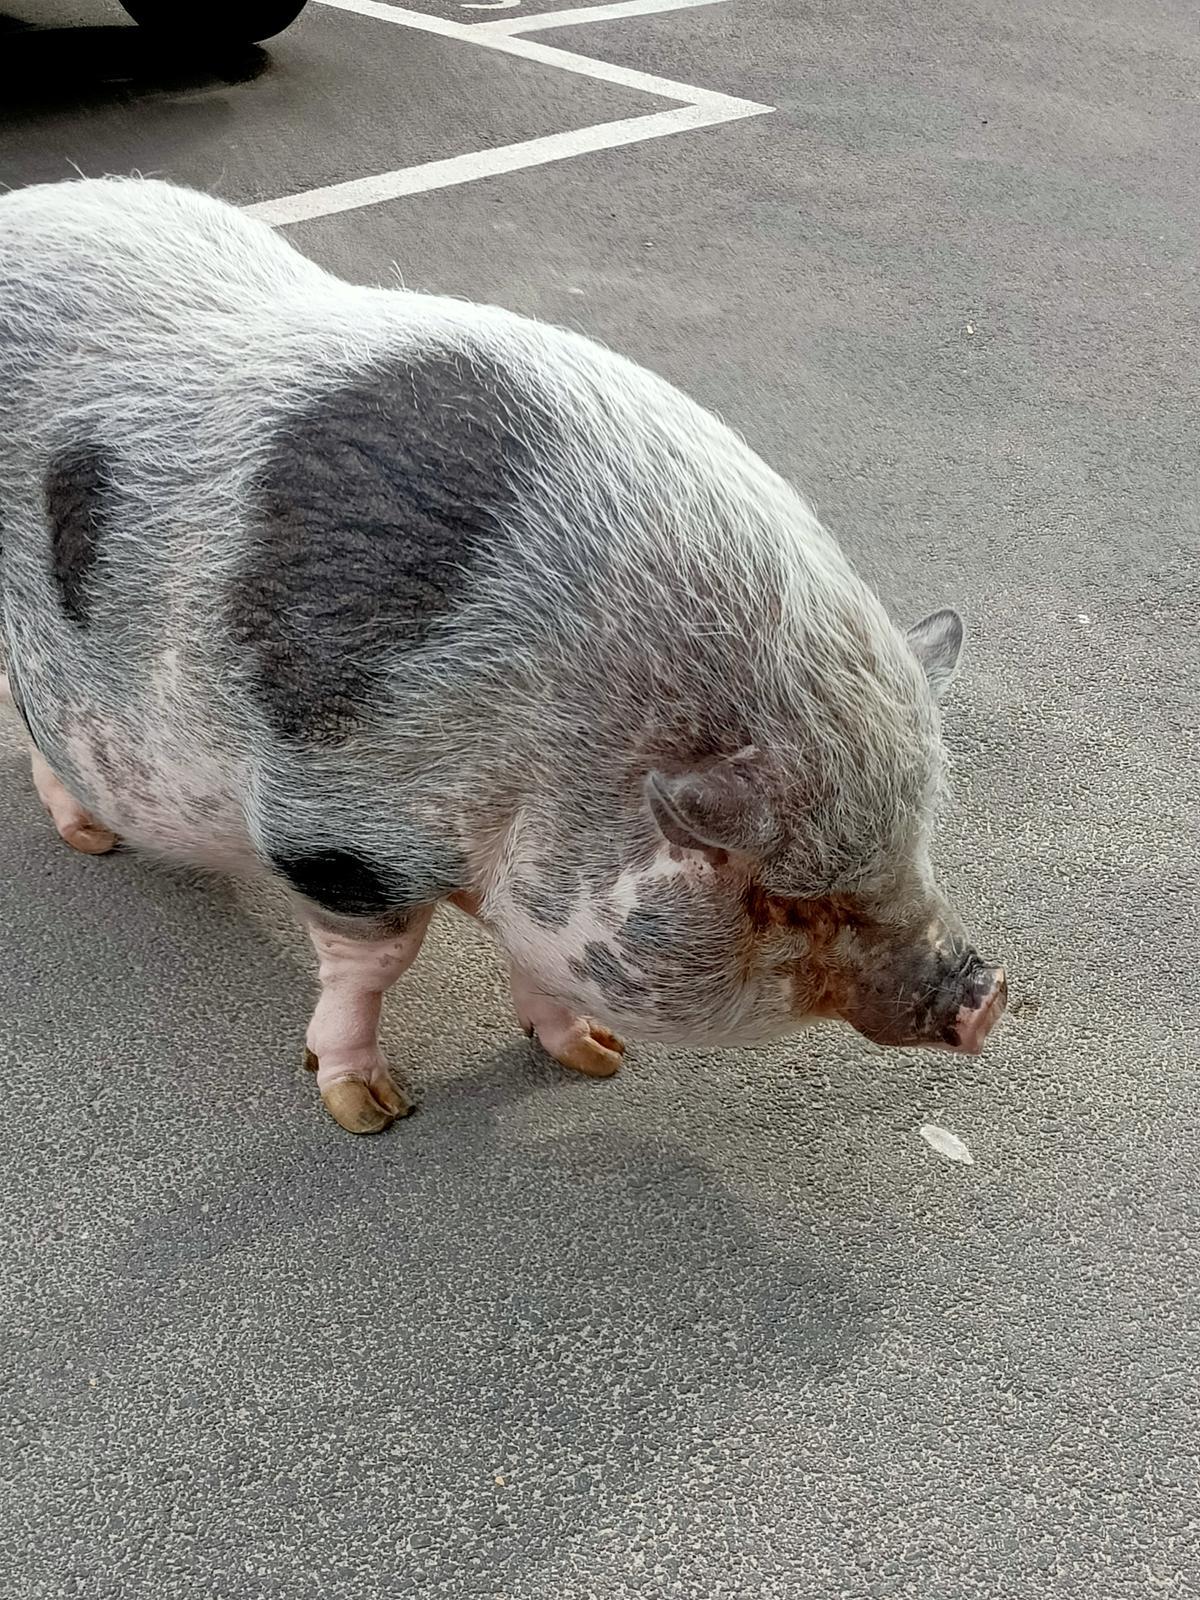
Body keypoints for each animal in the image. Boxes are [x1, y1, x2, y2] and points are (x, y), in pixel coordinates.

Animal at [0, 175, 1011, 1132]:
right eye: (792, 903)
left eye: (917, 843)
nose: (987, 995)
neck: (549, 731)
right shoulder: (331, 825)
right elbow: (375, 963)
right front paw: (368, 1108)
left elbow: (547, 963)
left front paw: (597, 1058)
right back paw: (92, 843)